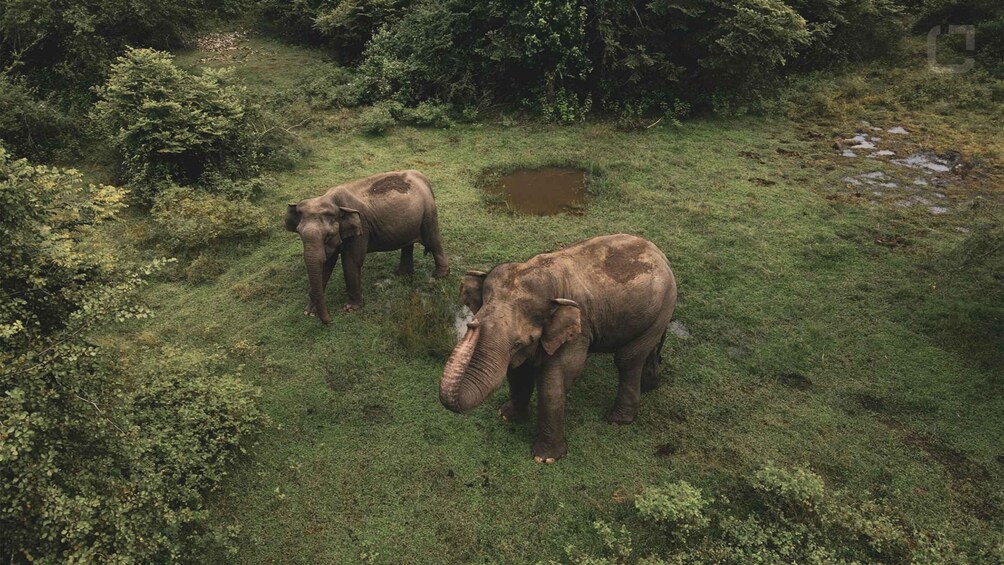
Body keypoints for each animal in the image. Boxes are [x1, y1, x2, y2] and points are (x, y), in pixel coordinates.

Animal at [285, 170, 449, 324]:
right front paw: (309, 312)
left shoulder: (361, 228)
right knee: (409, 244)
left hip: (428, 213)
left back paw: (439, 276)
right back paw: (402, 273)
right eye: (299, 234)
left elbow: (351, 261)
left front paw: (351, 308)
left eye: (328, 236)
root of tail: (422, 177)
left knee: (433, 241)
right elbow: (326, 264)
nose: (330, 320)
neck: (330, 200)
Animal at [439, 234, 677, 463]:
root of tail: (661, 255)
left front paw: (545, 458)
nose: (472, 325)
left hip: (663, 305)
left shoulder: (578, 331)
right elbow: (518, 372)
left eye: (519, 343)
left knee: (627, 359)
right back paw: (650, 385)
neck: (542, 271)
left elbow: (555, 381)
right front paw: (507, 415)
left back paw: (617, 420)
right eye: (474, 319)